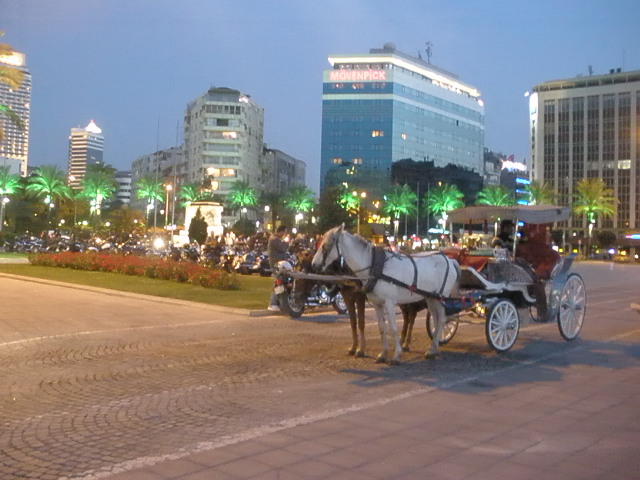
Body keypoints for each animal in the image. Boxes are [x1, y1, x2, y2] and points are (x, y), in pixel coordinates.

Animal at [312, 225, 458, 364]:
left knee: (442, 319)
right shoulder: (377, 303)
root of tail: (449, 260)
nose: (314, 265)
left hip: (440, 297)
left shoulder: (389, 302)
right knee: (436, 319)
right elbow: (382, 327)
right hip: (430, 297)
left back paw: (434, 348)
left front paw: (396, 355)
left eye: (325, 245)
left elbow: (392, 328)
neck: (374, 266)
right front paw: (383, 354)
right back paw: (434, 348)